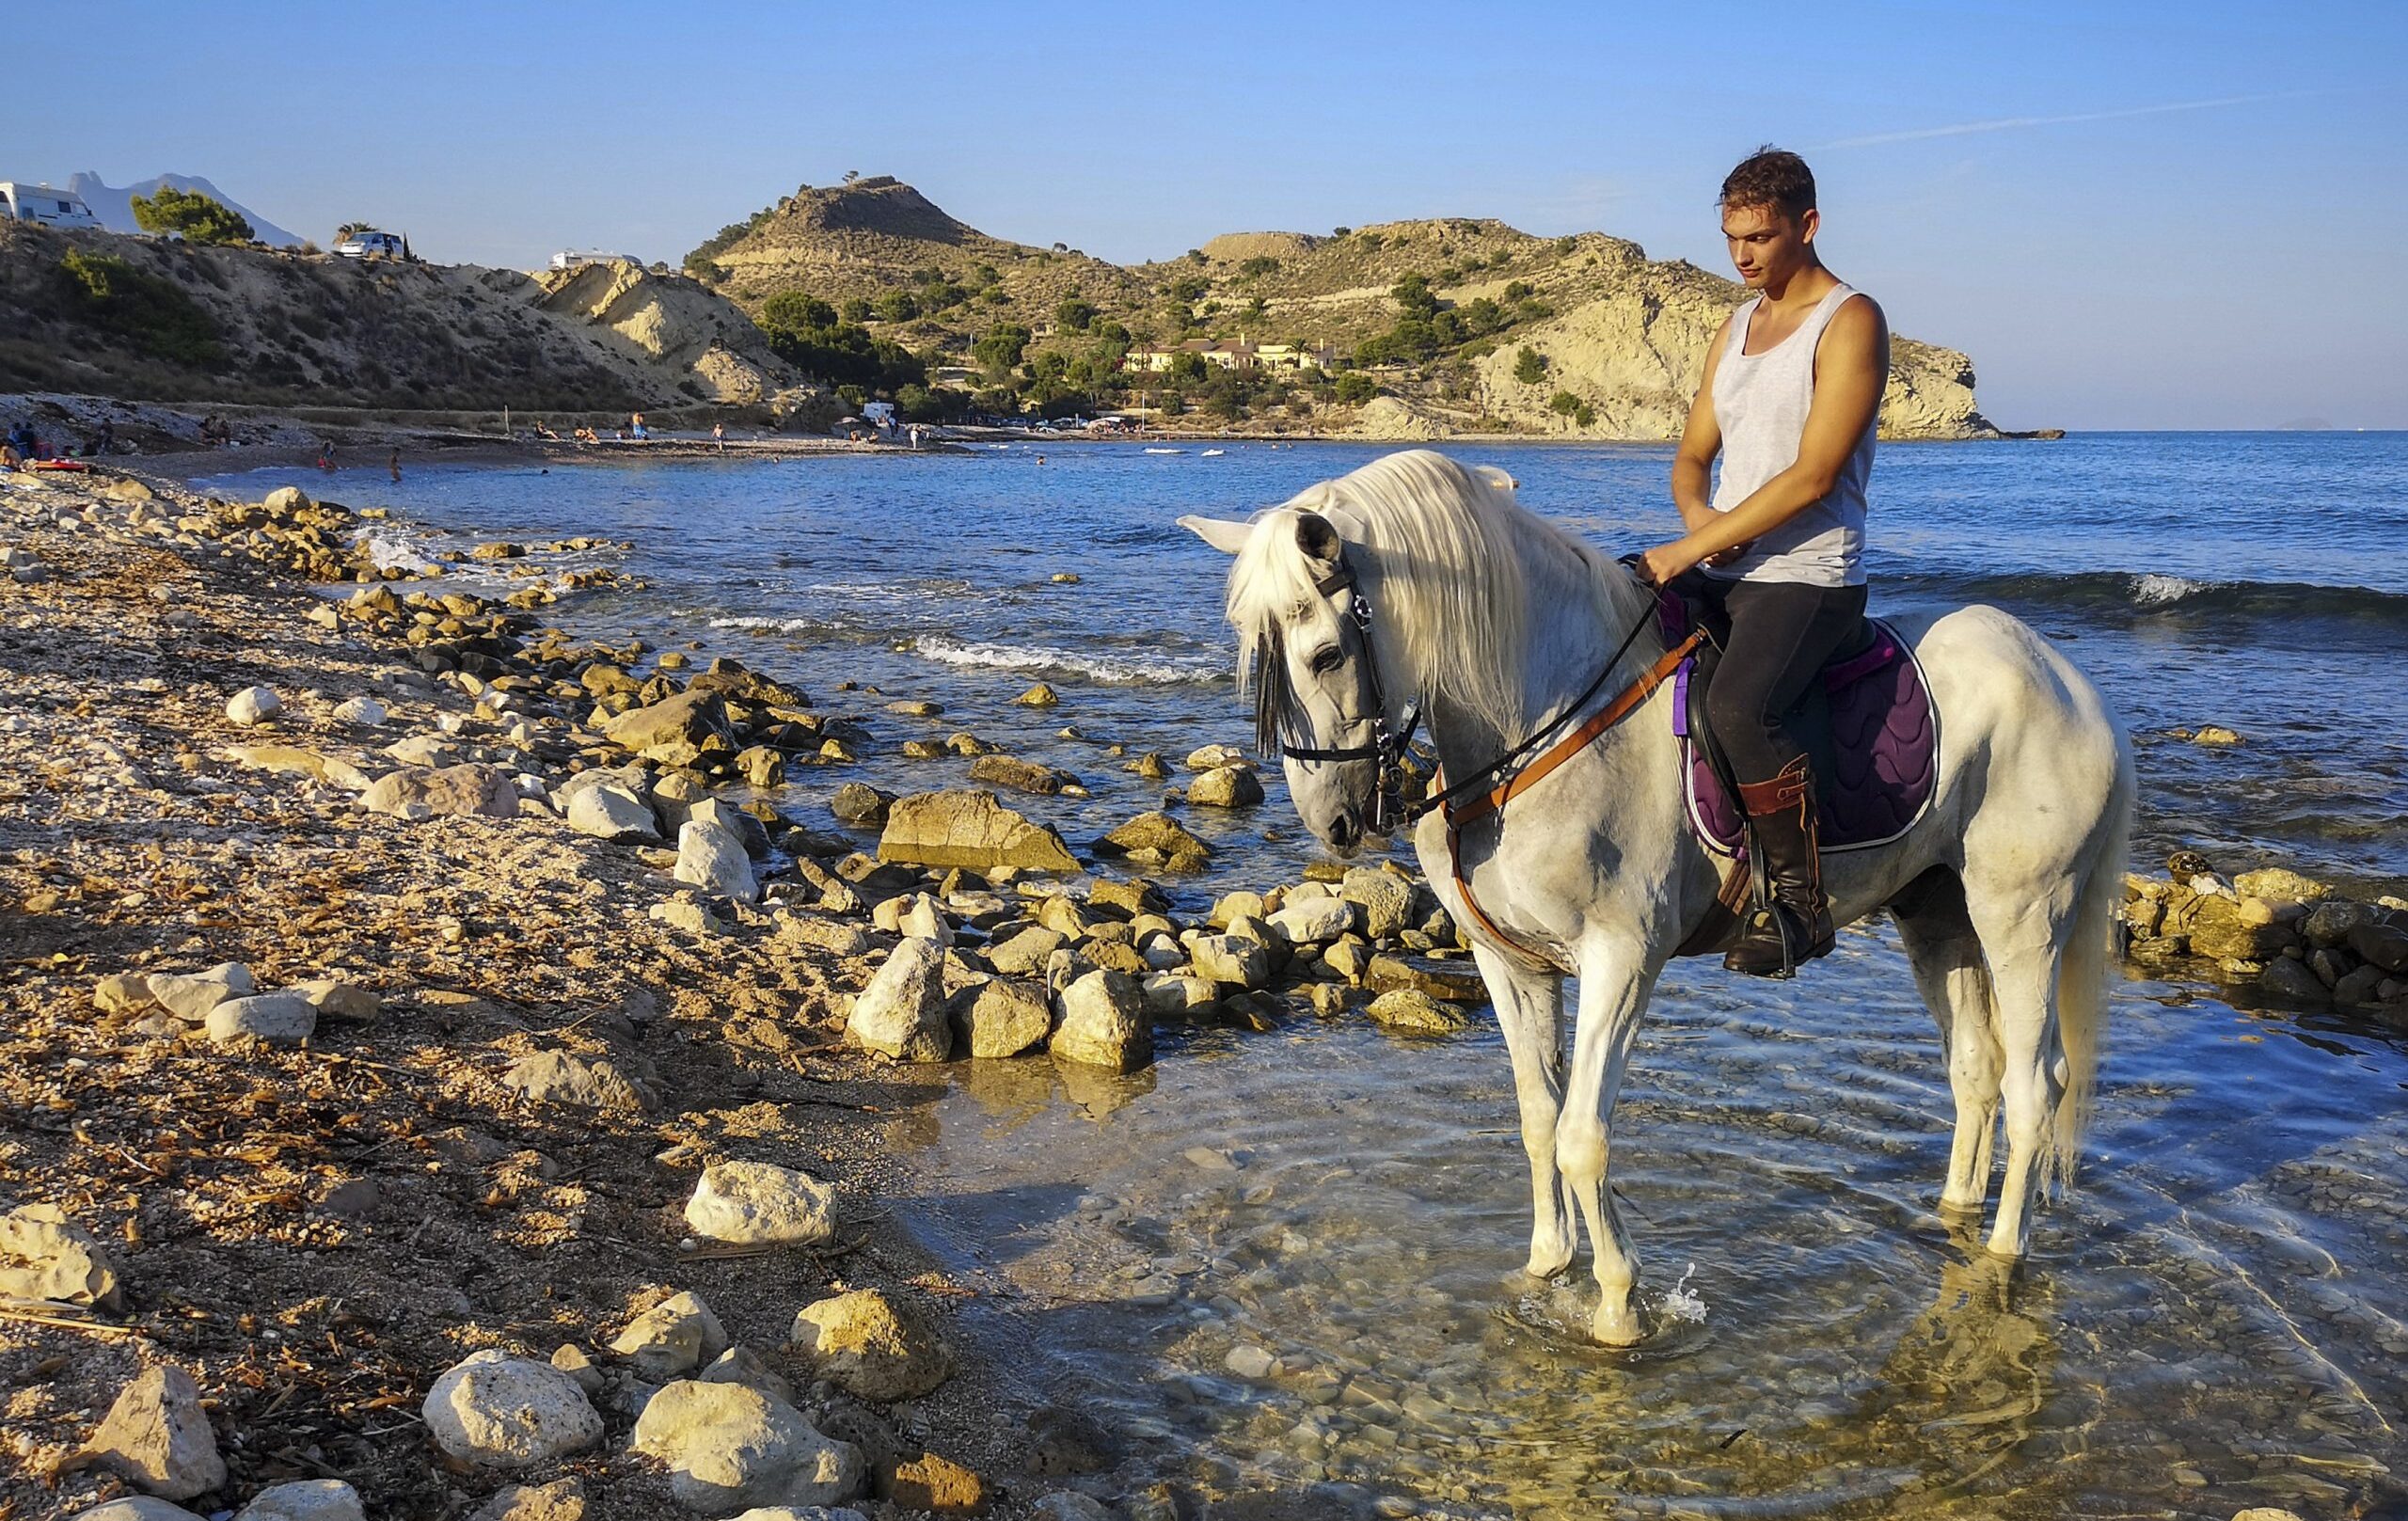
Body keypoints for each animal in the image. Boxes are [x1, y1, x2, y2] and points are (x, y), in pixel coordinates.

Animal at [1180, 452, 2129, 1338]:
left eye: (1326, 653)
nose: (1332, 822)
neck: (1542, 721)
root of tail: (2072, 684)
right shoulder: (1510, 963)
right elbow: (1539, 1119)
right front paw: (1547, 1266)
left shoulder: (1622, 959)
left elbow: (1583, 1137)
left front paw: (1616, 1305)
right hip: (1936, 913)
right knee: (1976, 1070)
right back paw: (1953, 1222)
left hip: (2023, 916)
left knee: (2035, 1086)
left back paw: (1999, 1257)